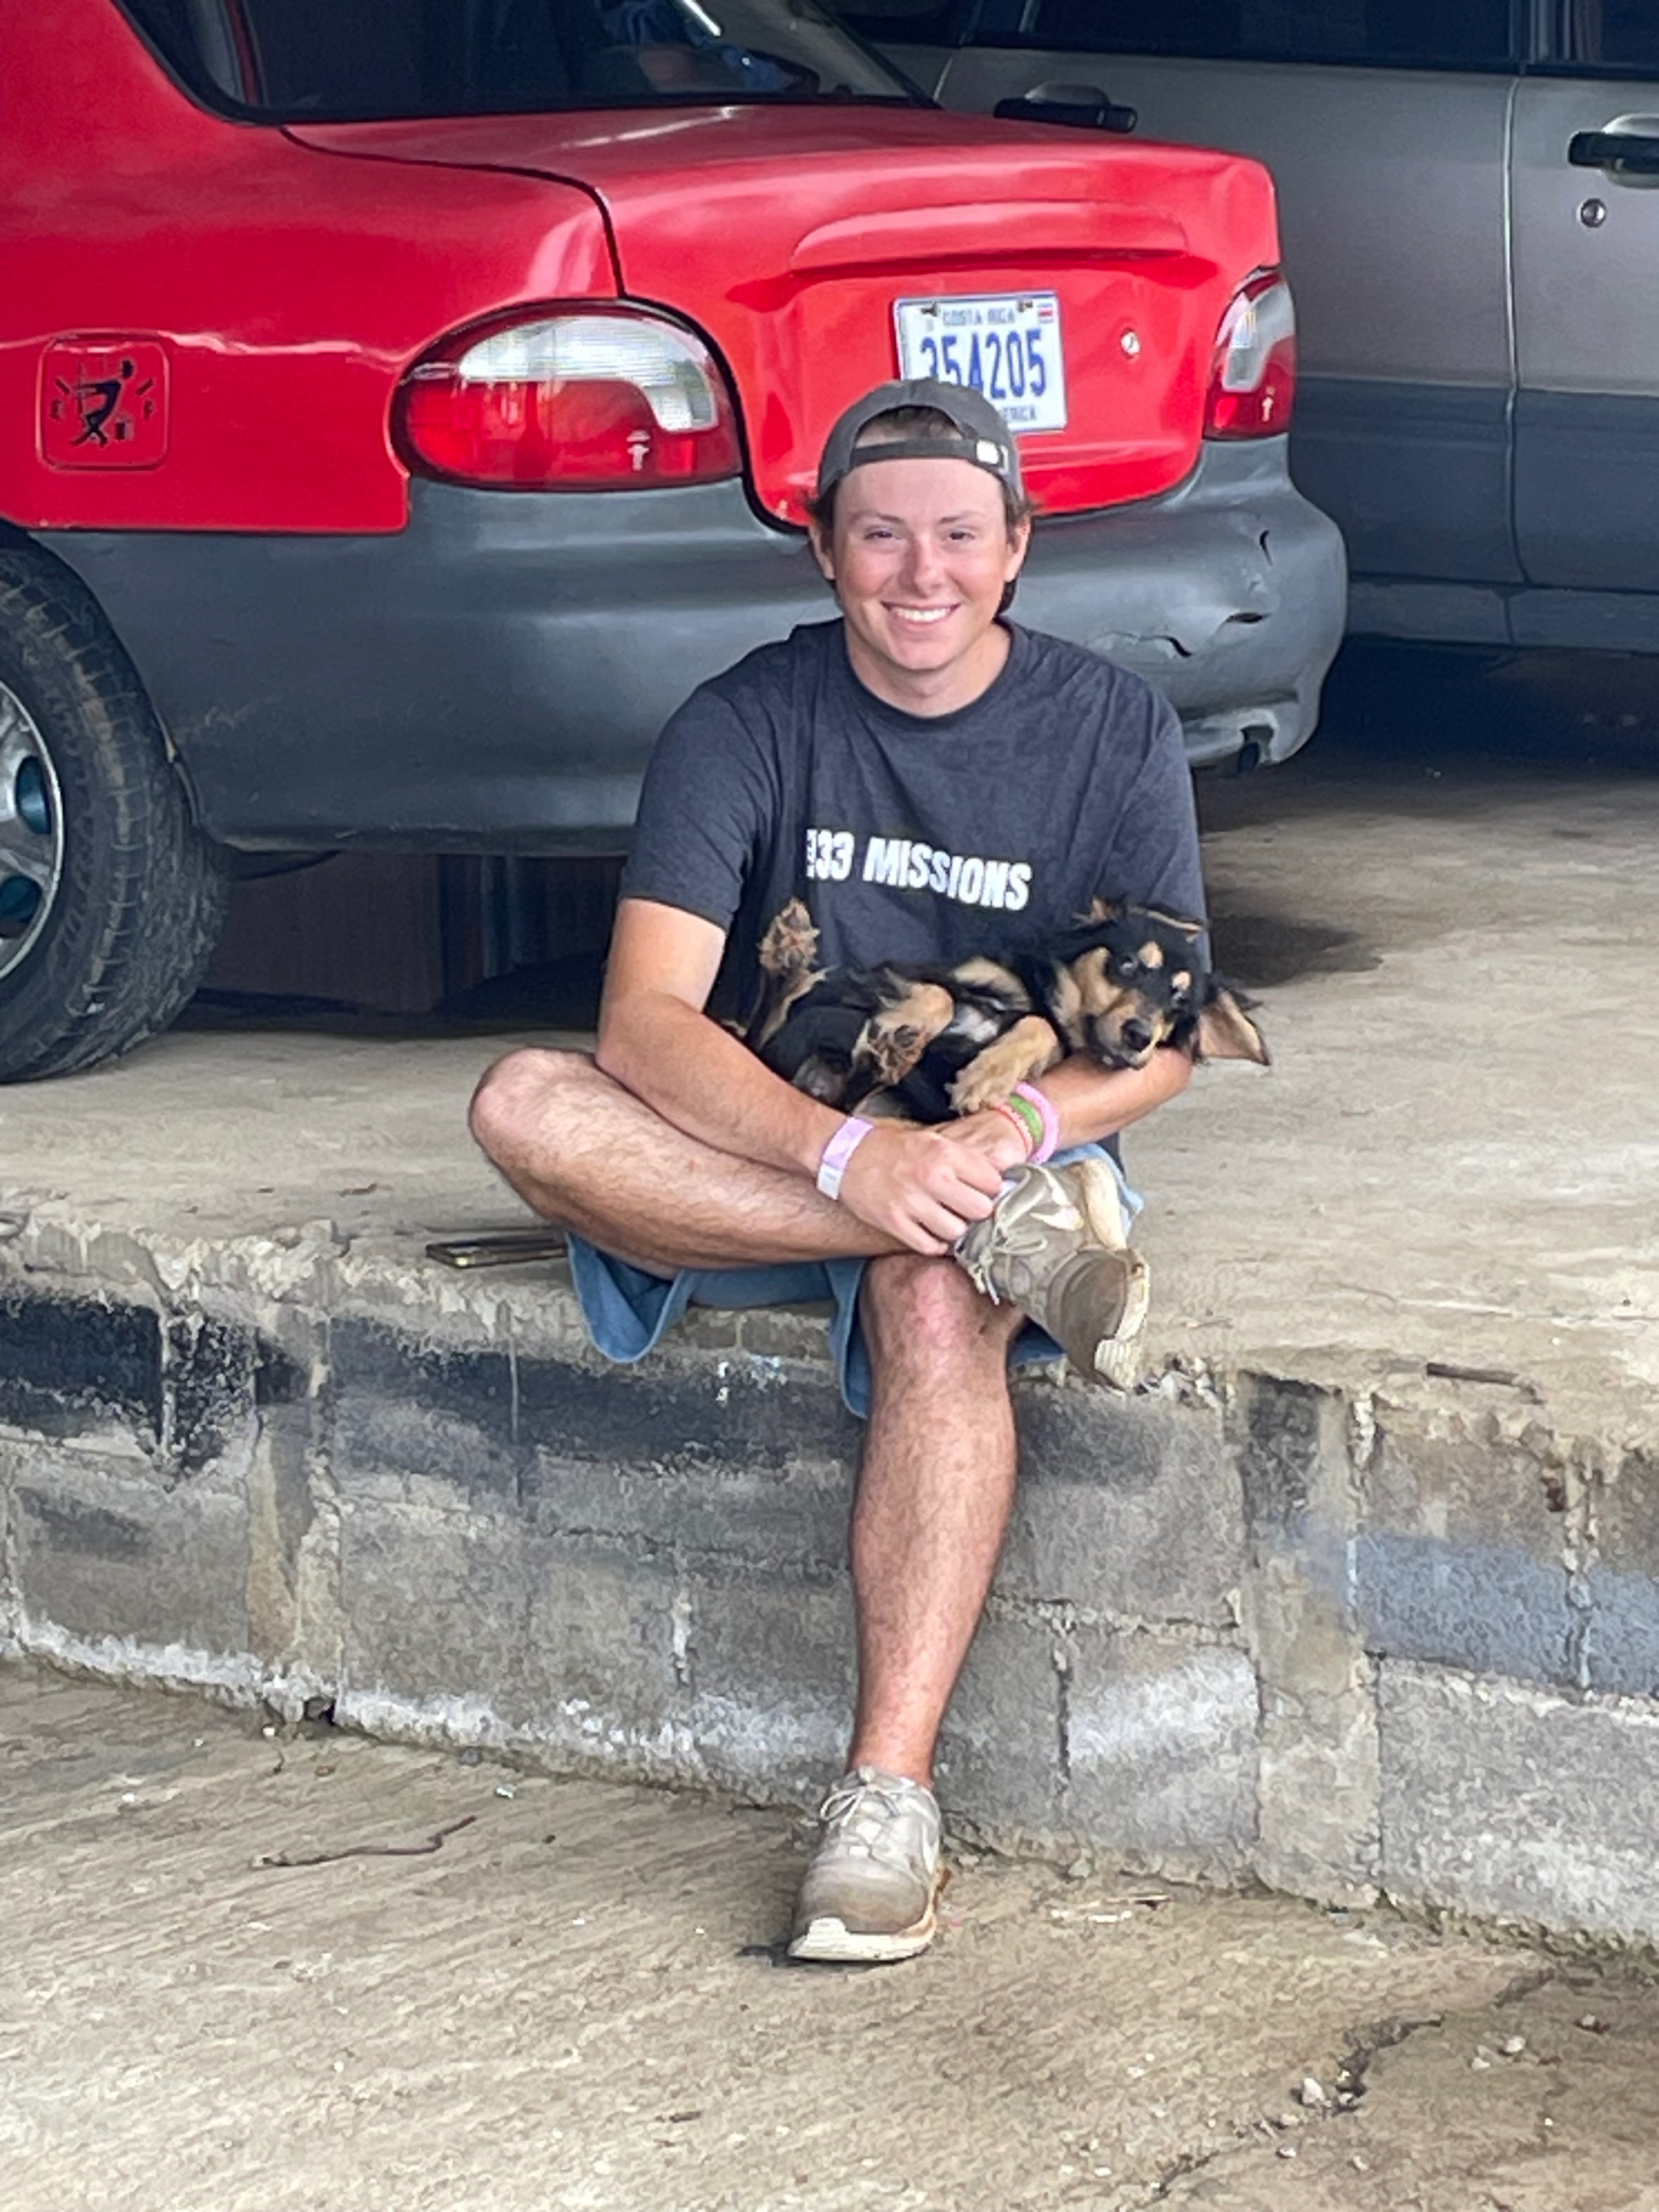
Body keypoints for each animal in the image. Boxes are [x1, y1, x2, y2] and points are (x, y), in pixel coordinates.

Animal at [746, 896, 1268, 1122]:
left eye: (1179, 1004)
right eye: (1127, 965)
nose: (1140, 1036)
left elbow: (1040, 1028)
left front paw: (986, 1076)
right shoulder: (901, 973)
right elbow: (939, 995)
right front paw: (904, 1024)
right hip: (805, 1030)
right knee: (771, 1014)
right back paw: (789, 948)